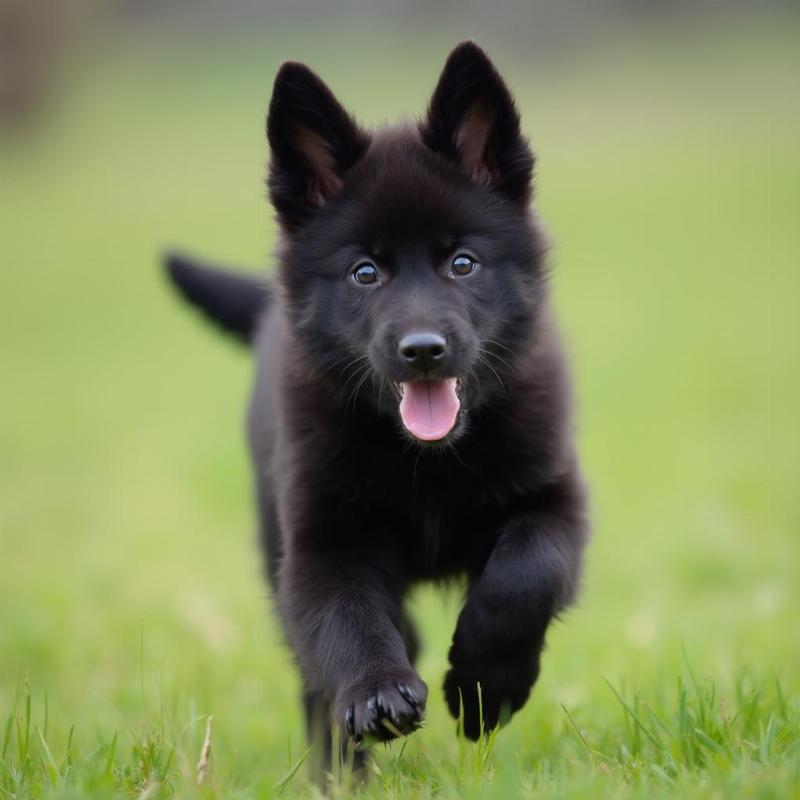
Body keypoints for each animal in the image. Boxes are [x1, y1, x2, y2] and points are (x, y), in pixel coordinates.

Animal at [166, 42, 588, 764]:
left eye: (463, 263)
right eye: (366, 273)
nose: (423, 350)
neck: (428, 461)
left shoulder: (554, 499)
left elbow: (525, 573)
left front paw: (486, 685)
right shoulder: (323, 543)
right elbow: (346, 622)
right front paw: (377, 691)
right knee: (317, 674)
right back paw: (339, 771)